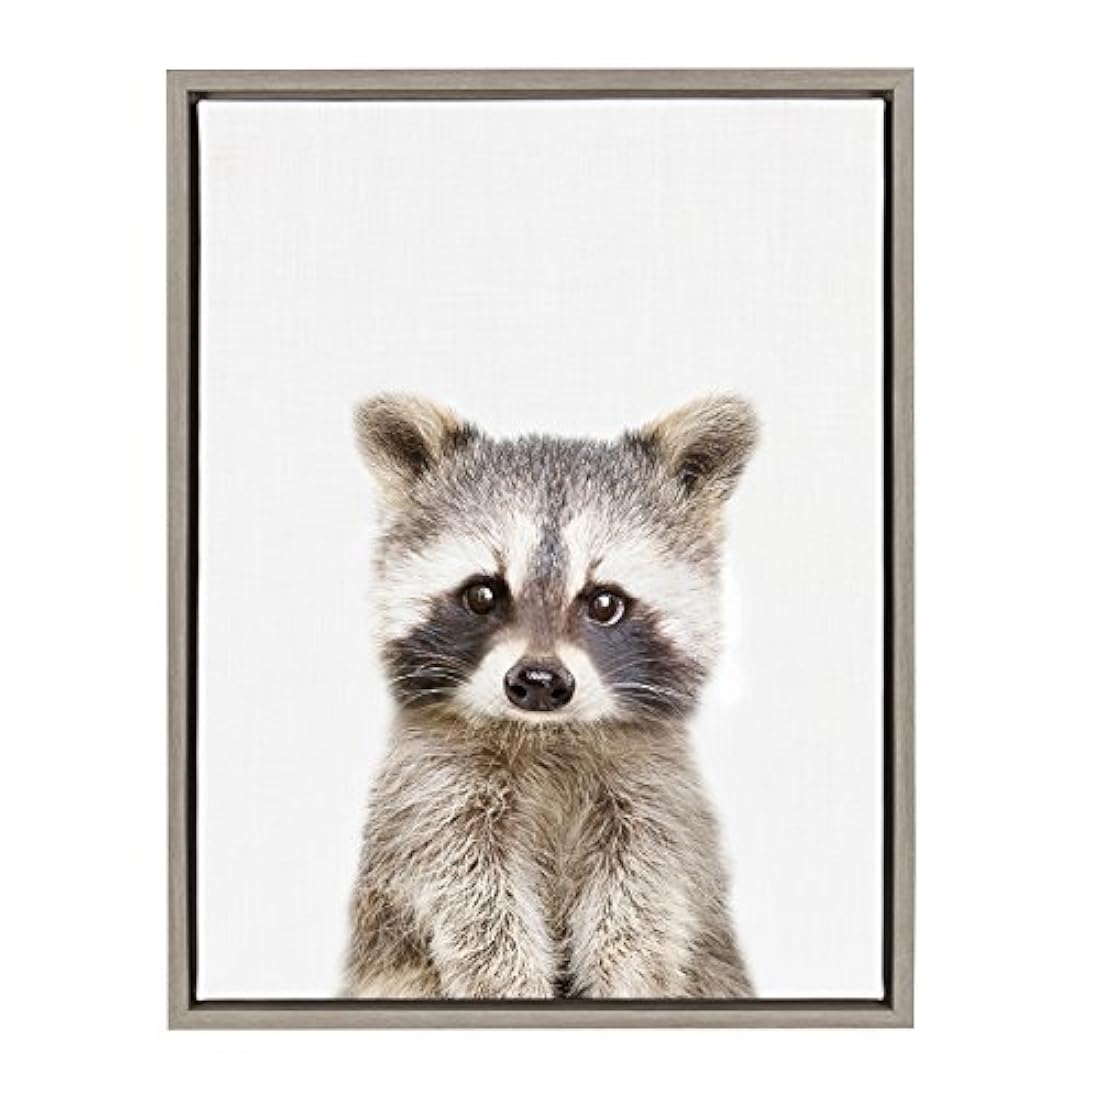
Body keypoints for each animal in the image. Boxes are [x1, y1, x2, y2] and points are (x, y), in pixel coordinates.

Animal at [343, 393, 758, 999]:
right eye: (483, 593)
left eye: (605, 602)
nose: (539, 683)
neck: (548, 735)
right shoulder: (431, 790)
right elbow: (469, 892)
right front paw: (507, 982)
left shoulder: (656, 794)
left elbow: (644, 898)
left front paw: (623, 978)